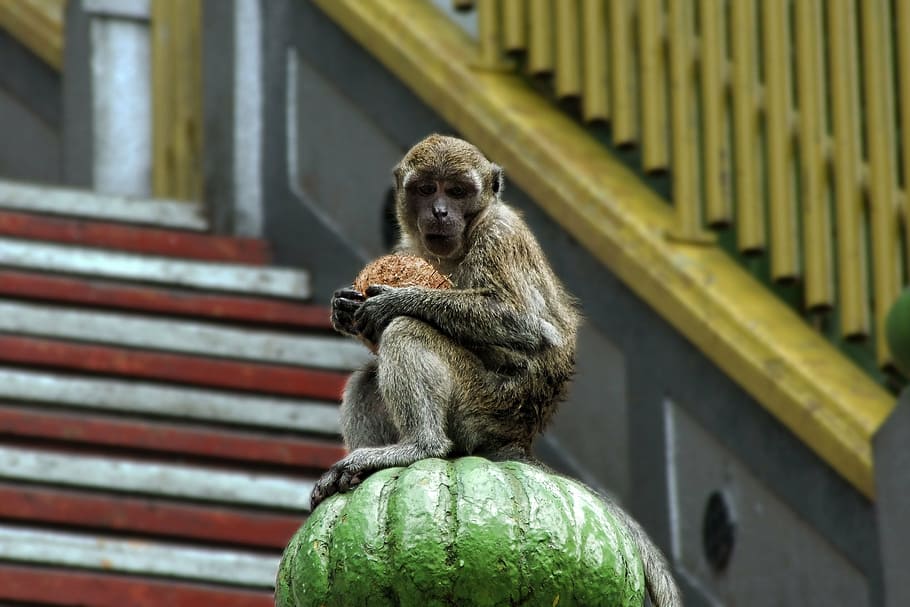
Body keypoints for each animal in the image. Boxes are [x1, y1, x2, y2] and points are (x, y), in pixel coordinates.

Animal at [311, 134, 682, 607]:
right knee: (367, 378)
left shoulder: (499, 235)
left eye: (457, 191)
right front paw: (343, 308)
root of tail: (515, 439)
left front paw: (393, 300)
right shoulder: (408, 249)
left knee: (410, 331)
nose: (440, 212)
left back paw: (419, 446)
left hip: (485, 405)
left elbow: (530, 327)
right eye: (426, 189)